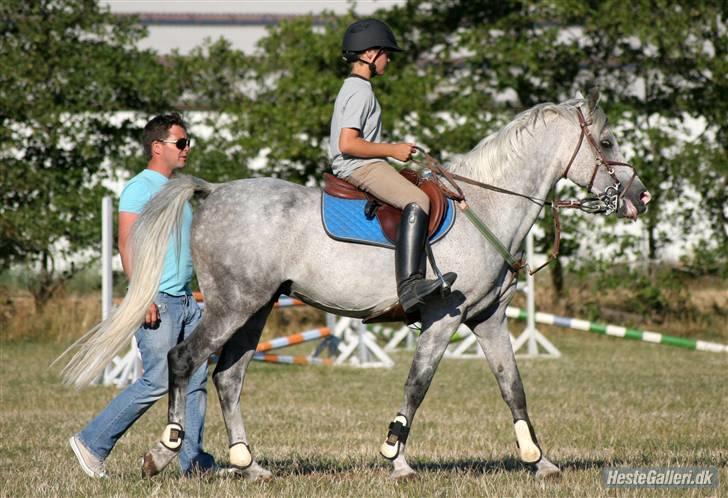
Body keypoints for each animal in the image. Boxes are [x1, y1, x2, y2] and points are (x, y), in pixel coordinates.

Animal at [62, 92, 652, 478]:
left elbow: (514, 388)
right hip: (233, 305)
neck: (485, 205)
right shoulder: (445, 319)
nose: (641, 197)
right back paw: (165, 450)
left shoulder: (488, 320)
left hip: (257, 308)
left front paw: (539, 460)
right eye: (606, 141)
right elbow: (417, 385)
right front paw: (397, 458)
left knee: (228, 376)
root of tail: (211, 192)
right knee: (185, 361)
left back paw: (249, 465)